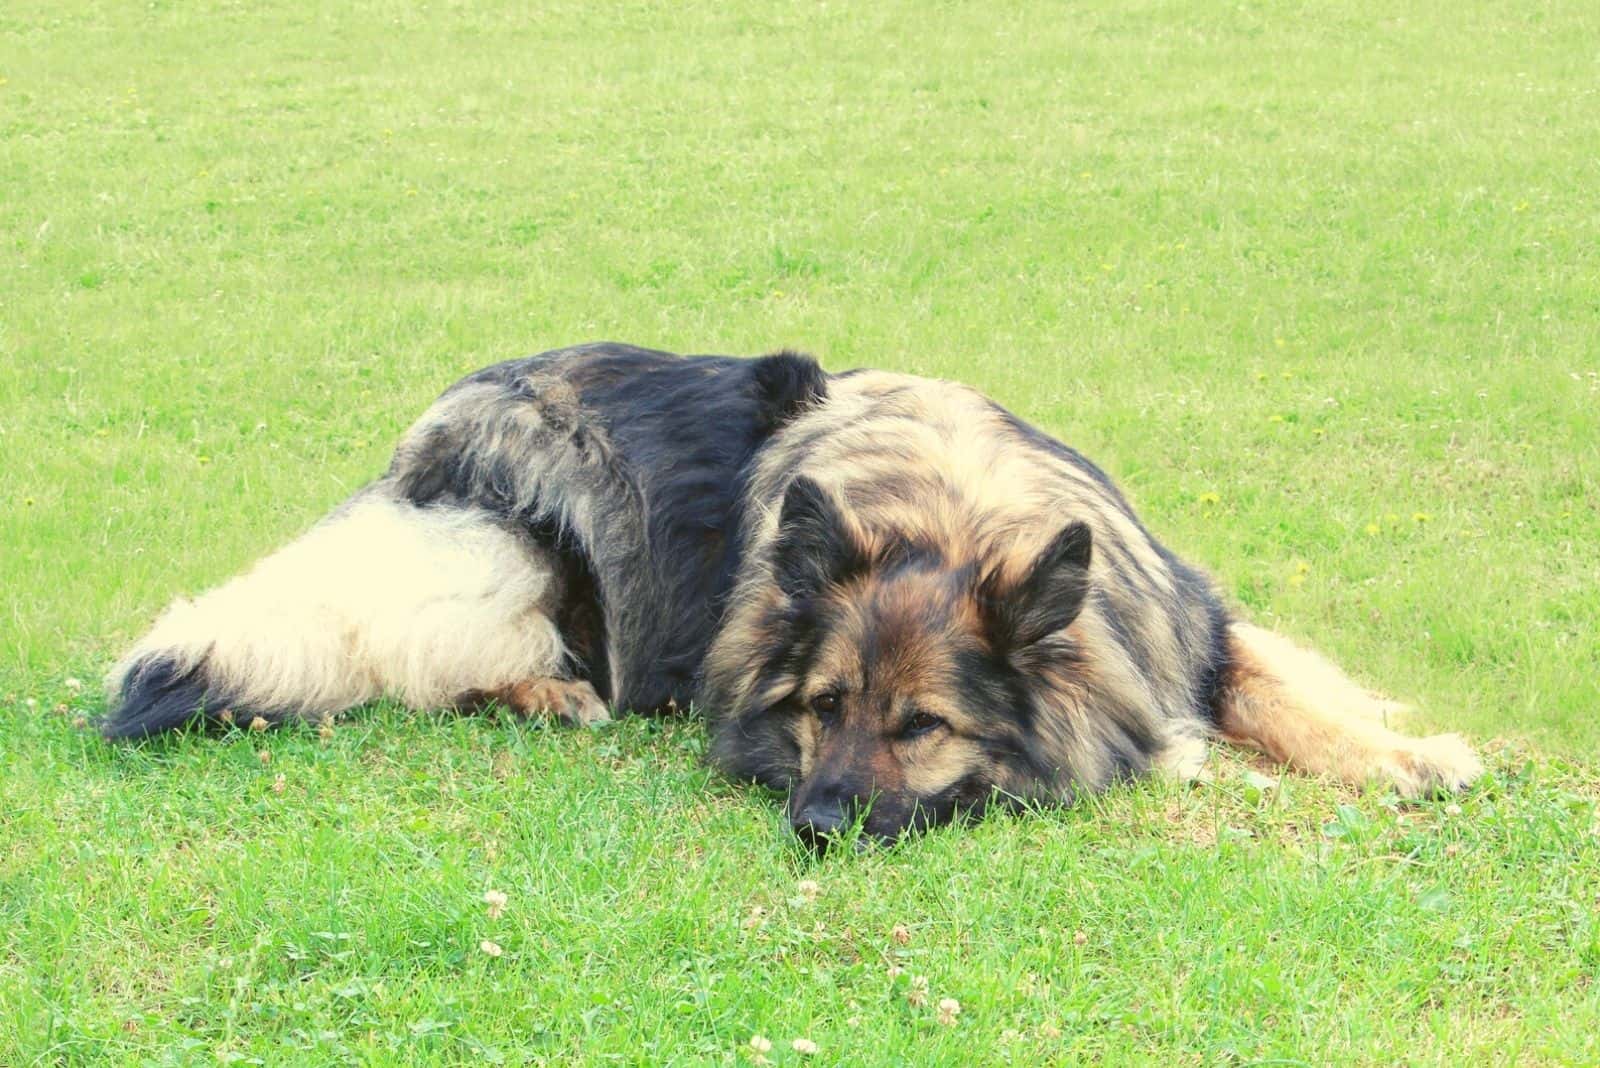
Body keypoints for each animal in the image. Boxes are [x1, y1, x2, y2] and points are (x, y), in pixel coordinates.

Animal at [103, 342, 1484, 844]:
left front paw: (1404, 755)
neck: (948, 506)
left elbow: (1284, 688)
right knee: (438, 652)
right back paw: (544, 694)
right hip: (543, 539)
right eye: (819, 709)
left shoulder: (1188, 621)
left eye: (921, 726)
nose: (814, 824)